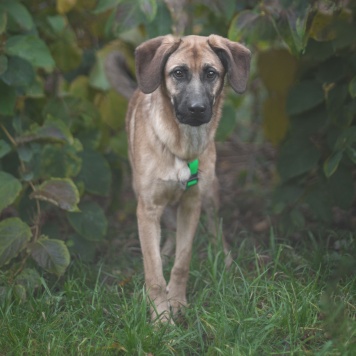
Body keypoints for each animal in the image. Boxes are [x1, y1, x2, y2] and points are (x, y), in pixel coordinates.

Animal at [106, 34, 250, 322]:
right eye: (178, 73)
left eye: (211, 73)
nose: (197, 109)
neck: (181, 147)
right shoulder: (148, 208)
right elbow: (153, 271)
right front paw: (161, 317)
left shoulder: (191, 204)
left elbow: (183, 262)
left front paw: (178, 303)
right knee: (165, 237)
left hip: (210, 192)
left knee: (215, 227)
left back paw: (224, 259)